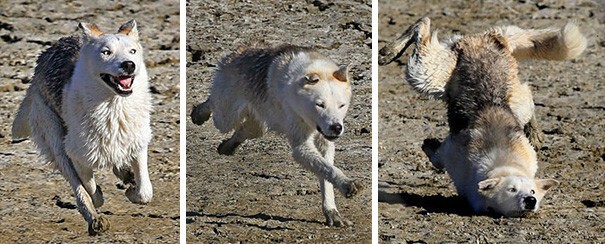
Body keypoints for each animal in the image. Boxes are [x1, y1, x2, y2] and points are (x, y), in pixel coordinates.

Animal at [11, 20, 152, 234]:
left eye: (132, 51)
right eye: (106, 52)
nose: (129, 64)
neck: (112, 107)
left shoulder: (138, 143)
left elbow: (145, 192)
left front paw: (132, 189)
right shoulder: (77, 155)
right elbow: (89, 188)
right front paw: (100, 199)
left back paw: (125, 174)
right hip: (56, 142)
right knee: (78, 188)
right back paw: (95, 220)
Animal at [192, 42, 364, 227]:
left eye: (341, 105)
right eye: (320, 105)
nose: (336, 127)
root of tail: (239, 51)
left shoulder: (325, 143)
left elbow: (327, 174)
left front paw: (332, 212)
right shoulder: (300, 147)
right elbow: (326, 168)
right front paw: (347, 185)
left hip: (258, 128)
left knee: (241, 131)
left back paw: (227, 147)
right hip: (226, 118)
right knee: (212, 103)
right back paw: (198, 114)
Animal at [380, 18, 584, 216]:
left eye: (532, 191)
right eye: (511, 189)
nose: (530, 200)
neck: (504, 161)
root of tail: (493, 38)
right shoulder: (451, 151)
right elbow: (437, 157)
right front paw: (428, 146)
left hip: (511, 98)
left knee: (527, 95)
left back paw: (535, 132)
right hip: (426, 73)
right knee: (422, 26)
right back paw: (389, 51)